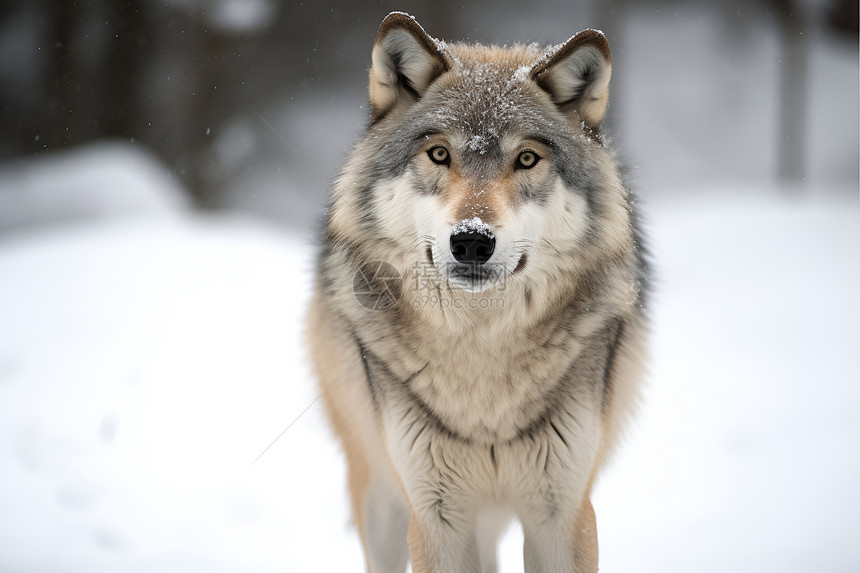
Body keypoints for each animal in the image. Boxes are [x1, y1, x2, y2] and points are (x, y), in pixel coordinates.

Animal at [306, 12, 648, 572]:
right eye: (439, 153)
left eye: (527, 158)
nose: (471, 241)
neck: (482, 356)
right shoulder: (436, 518)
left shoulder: (564, 515)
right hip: (382, 499)